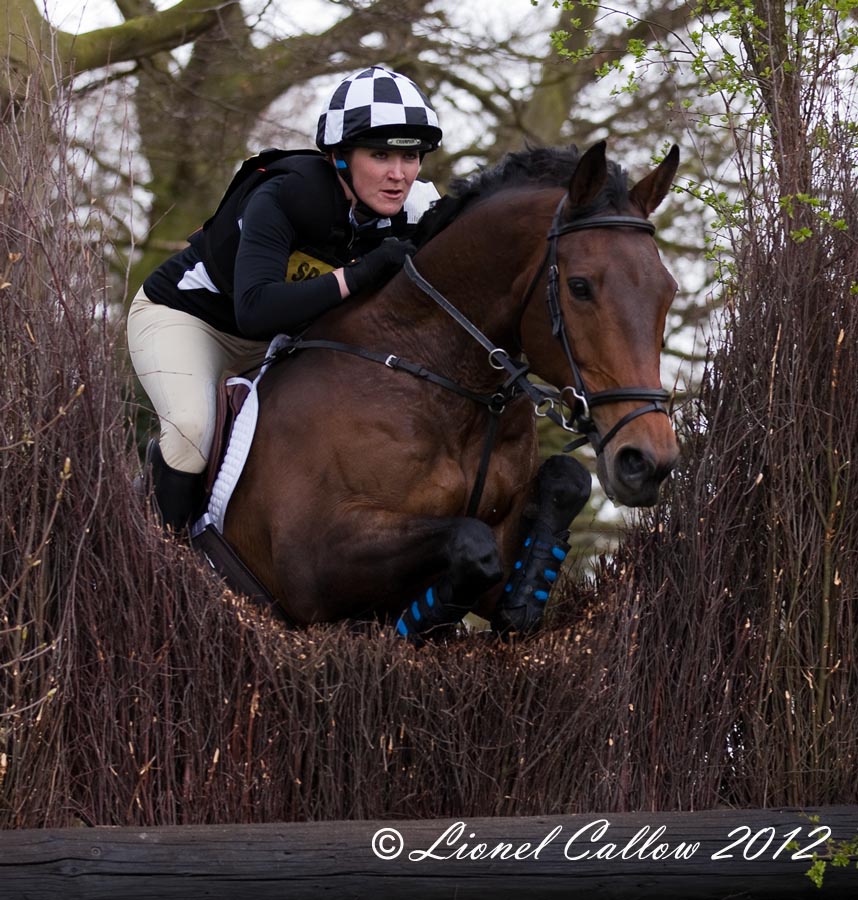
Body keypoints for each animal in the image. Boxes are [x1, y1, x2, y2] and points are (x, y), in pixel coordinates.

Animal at [222, 140, 681, 636]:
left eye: (668, 292)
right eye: (579, 287)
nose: (647, 462)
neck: (443, 378)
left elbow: (567, 482)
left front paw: (523, 597)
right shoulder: (310, 565)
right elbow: (470, 542)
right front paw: (423, 617)